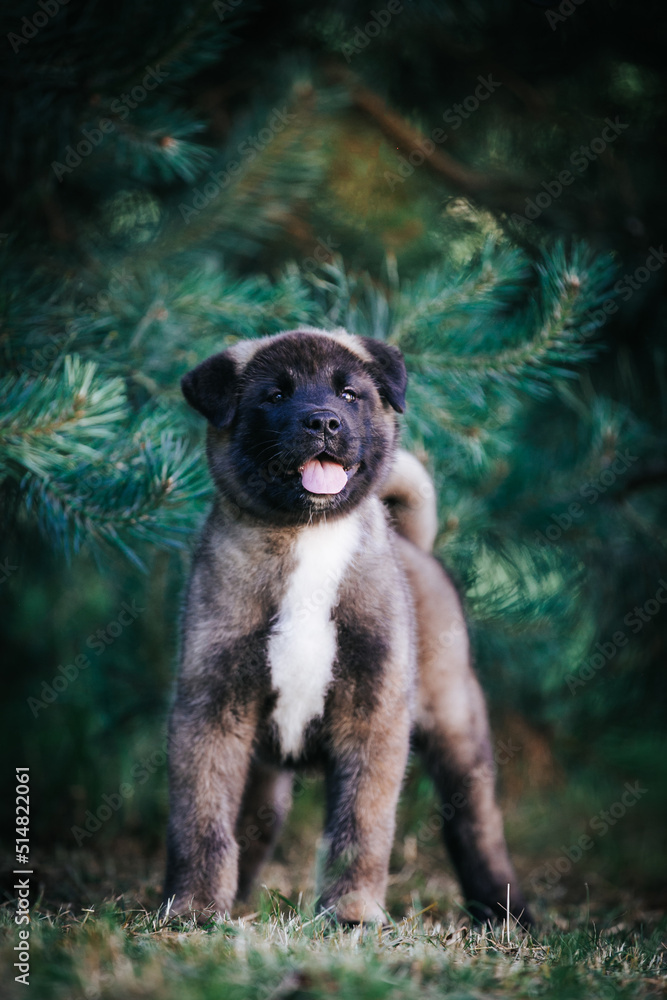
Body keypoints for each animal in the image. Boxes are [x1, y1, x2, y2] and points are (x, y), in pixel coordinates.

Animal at [164, 332, 528, 924]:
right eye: (274, 395)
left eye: (349, 394)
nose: (324, 422)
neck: (308, 538)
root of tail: (413, 545)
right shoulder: (211, 712)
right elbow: (203, 824)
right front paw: (194, 906)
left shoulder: (373, 714)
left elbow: (361, 825)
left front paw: (353, 910)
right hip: (265, 775)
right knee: (251, 828)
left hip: (458, 729)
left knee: (478, 826)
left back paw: (504, 911)